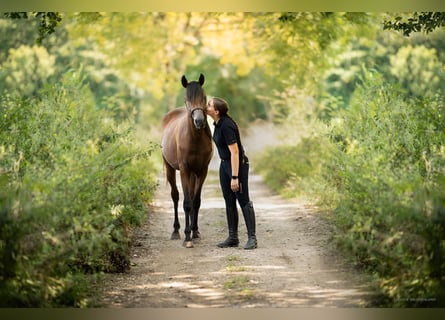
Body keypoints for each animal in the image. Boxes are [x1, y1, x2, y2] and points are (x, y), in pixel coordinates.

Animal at [160, 74, 212, 249]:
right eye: (186, 99)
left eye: (204, 97)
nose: (199, 121)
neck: (194, 139)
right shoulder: (184, 169)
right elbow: (187, 203)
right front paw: (187, 237)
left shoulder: (202, 171)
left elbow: (195, 201)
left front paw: (195, 232)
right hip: (171, 169)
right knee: (176, 197)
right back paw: (176, 231)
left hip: (193, 174)